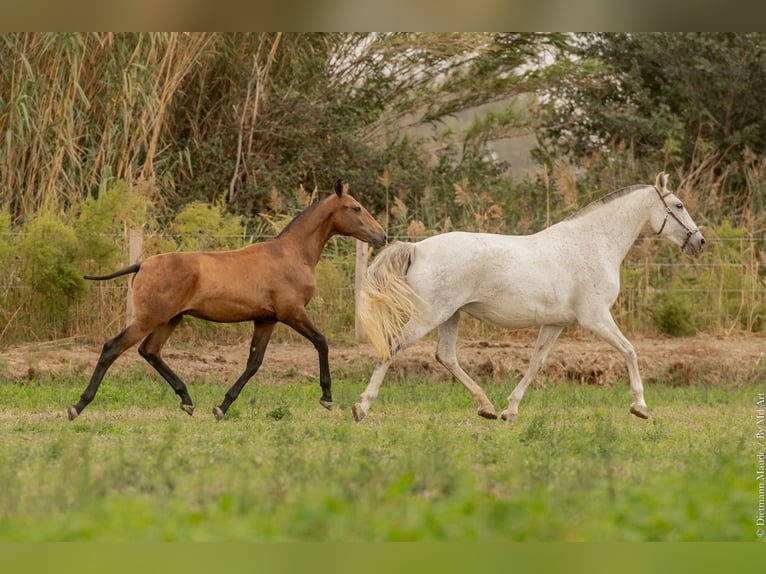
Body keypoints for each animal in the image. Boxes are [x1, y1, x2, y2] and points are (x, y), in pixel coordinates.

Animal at [356, 172, 704, 424]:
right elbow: (630, 351)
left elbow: (536, 363)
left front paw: (510, 410)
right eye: (679, 205)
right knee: (393, 347)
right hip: (429, 315)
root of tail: (416, 248)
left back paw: (486, 407)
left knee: (446, 356)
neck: (593, 244)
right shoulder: (596, 318)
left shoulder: (554, 324)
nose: (700, 242)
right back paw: (361, 407)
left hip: (450, 315)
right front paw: (640, 407)